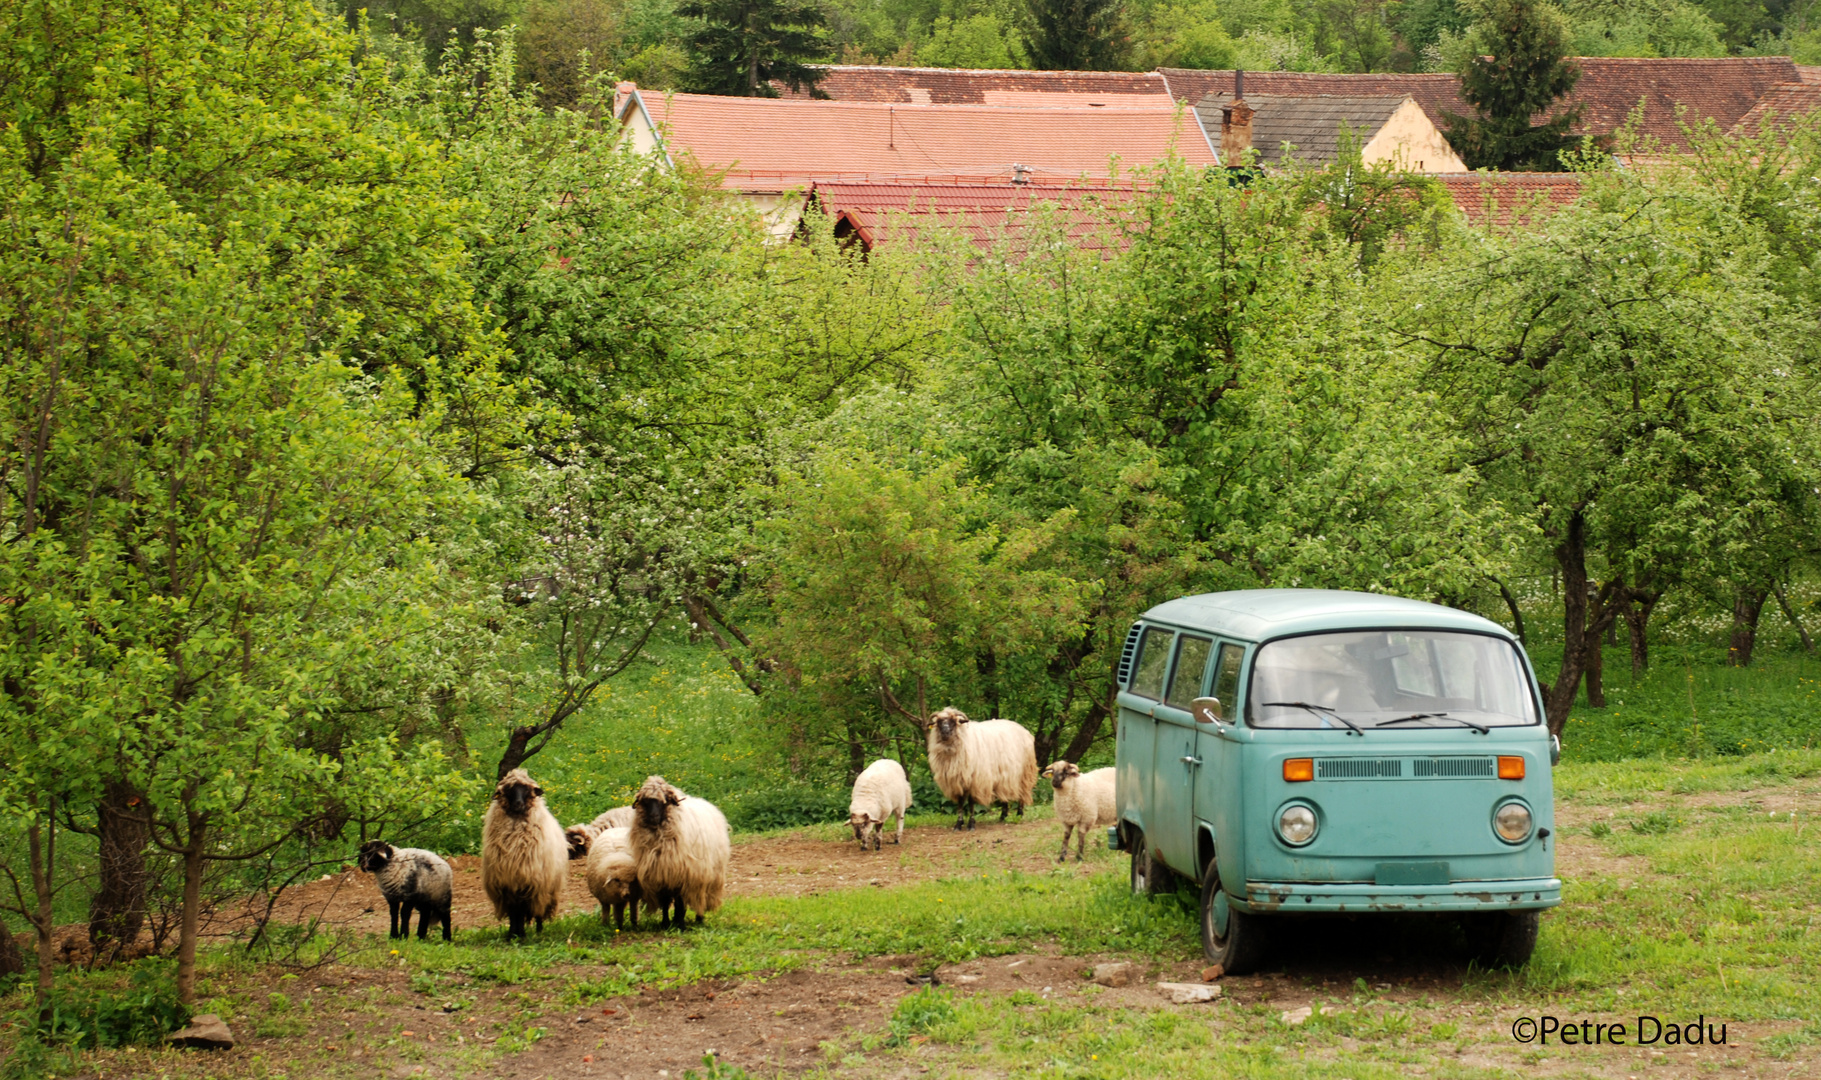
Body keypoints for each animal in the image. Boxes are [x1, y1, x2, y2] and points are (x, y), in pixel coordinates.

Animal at [480, 764, 564, 932]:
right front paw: (514, 933)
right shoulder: (507, 885)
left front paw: (521, 933)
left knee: (539, 911)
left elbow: (524, 910)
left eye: (526, 789)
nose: (518, 803)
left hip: (546, 888)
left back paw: (539, 930)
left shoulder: (531, 883)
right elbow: (515, 913)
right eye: (508, 790)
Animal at [626, 772, 724, 932]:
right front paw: (666, 923)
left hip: (707, 876)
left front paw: (681, 925)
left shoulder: (682, 875)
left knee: (700, 898)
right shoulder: (662, 875)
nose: (653, 817)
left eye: (664, 801)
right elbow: (666, 902)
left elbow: (679, 903)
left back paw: (699, 918)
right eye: (645, 801)